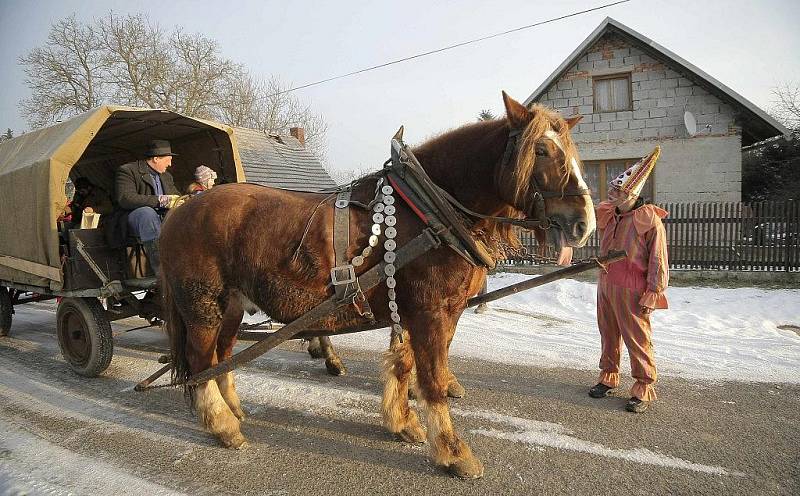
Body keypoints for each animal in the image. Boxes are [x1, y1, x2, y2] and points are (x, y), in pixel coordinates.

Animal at [161, 92, 592, 476]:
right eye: (541, 150)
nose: (583, 224)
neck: (429, 212)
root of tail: (182, 209)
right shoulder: (430, 312)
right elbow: (432, 378)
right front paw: (453, 452)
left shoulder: (424, 310)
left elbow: (405, 365)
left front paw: (403, 424)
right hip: (202, 305)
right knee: (201, 360)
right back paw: (223, 425)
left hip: (232, 304)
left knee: (222, 355)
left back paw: (233, 409)